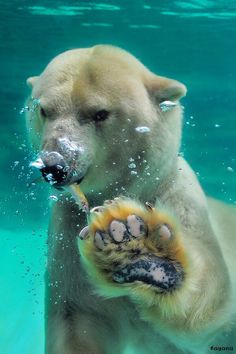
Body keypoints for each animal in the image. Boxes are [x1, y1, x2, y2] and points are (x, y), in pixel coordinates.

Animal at [25, 45, 236, 354]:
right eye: (43, 110)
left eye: (100, 113)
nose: (54, 165)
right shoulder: (68, 230)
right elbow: (79, 318)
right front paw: (122, 239)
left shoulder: (180, 201)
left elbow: (208, 313)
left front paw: (134, 242)